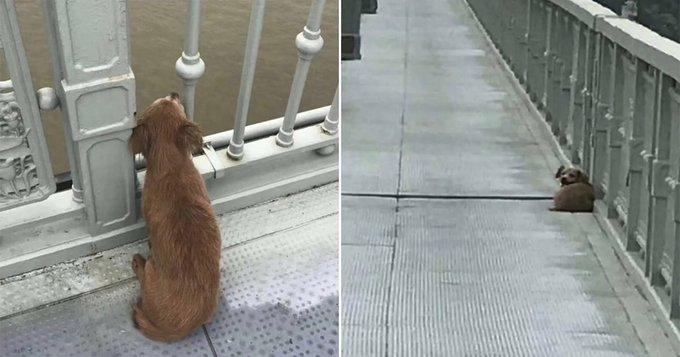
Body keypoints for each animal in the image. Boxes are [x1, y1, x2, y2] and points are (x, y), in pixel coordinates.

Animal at [129, 93, 220, 340]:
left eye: (173, 102)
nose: (174, 93)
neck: (170, 162)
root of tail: (179, 330)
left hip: (151, 273)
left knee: (143, 276)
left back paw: (138, 263)